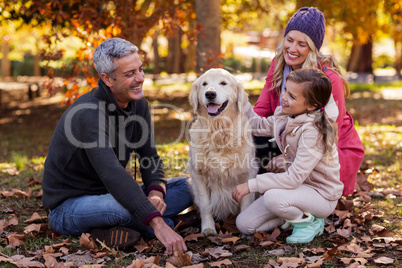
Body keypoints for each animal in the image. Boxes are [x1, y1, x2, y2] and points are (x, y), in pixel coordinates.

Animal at [188, 68, 258, 236]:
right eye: (204, 84)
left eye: (223, 83)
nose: (210, 94)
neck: (219, 132)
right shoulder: (198, 175)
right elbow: (205, 205)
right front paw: (208, 228)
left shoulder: (247, 173)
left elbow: (246, 202)